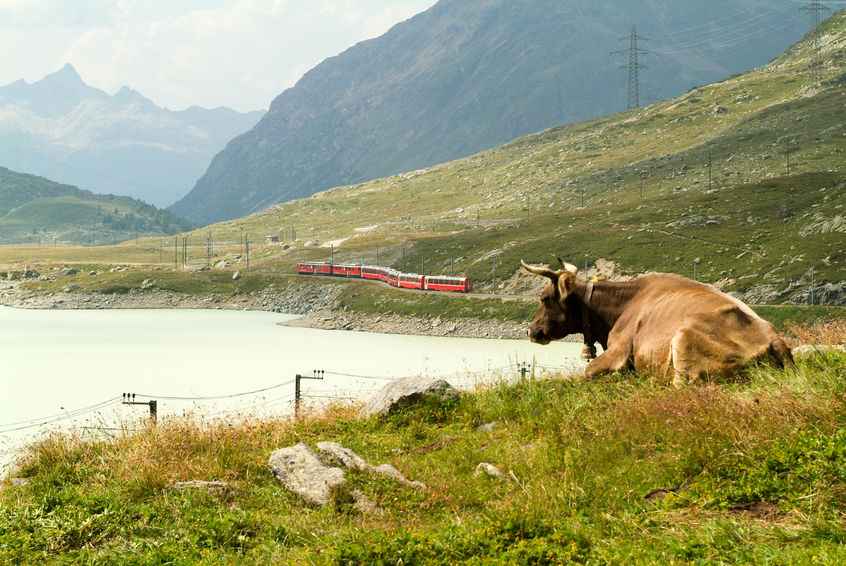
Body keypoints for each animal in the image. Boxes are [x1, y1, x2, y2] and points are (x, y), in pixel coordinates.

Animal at [524, 260, 796, 386]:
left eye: (544, 297)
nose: (531, 330)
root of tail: (775, 340)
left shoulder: (619, 349)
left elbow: (589, 371)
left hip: (684, 340)